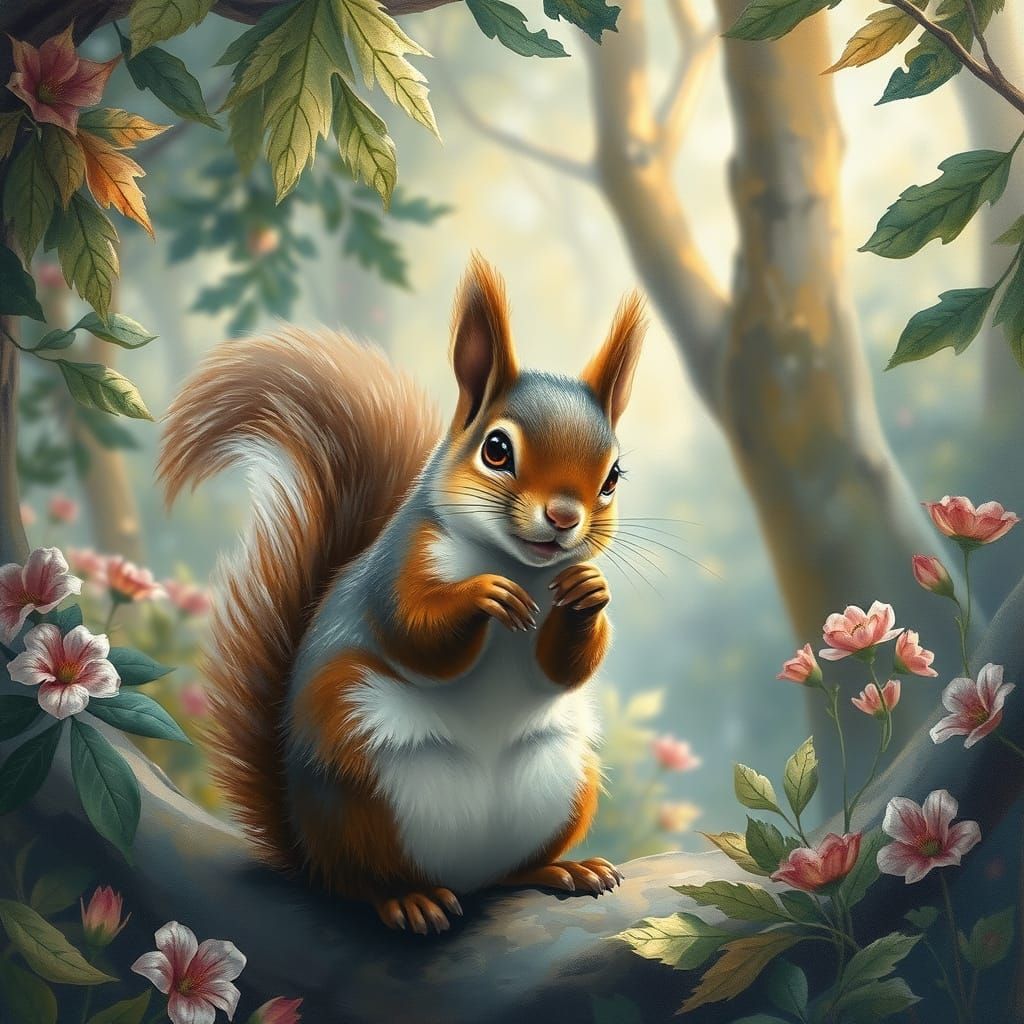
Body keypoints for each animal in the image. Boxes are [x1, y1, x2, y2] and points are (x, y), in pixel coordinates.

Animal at [158, 254, 646, 934]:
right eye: (497, 449)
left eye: (613, 477)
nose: (563, 518)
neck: (521, 566)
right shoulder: (399, 566)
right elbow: (413, 634)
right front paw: (482, 595)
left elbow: (563, 669)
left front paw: (589, 591)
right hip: (359, 784)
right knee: (354, 881)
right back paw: (404, 899)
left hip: (565, 779)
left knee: (507, 871)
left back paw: (561, 869)